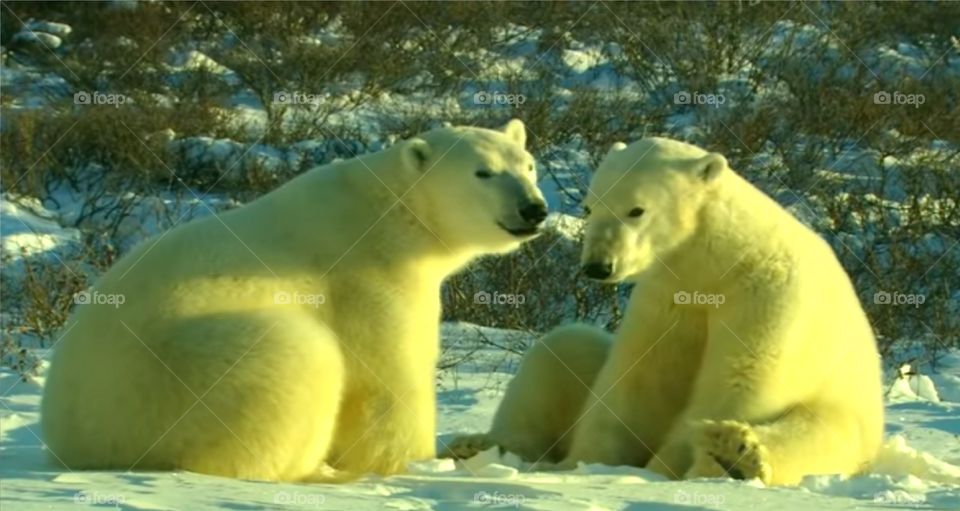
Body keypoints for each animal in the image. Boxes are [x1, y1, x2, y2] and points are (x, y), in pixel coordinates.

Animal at [41, 119, 548, 482]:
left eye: (527, 165)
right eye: (483, 173)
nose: (534, 209)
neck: (393, 210)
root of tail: (77, 444)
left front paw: (465, 445)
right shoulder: (367, 274)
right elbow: (387, 378)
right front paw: (420, 462)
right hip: (180, 377)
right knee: (298, 360)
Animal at [445, 137, 884, 486]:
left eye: (636, 210)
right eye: (590, 207)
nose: (597, 266)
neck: (720, 261)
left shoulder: (767, 296)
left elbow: (740, 380)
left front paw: (663, 469)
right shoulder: (666, 296)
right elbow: (638, 380)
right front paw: (588, 464)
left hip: (851, 419)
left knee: (817, 432)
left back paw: (734, 455)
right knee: (562, 347)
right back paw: (478, 446)